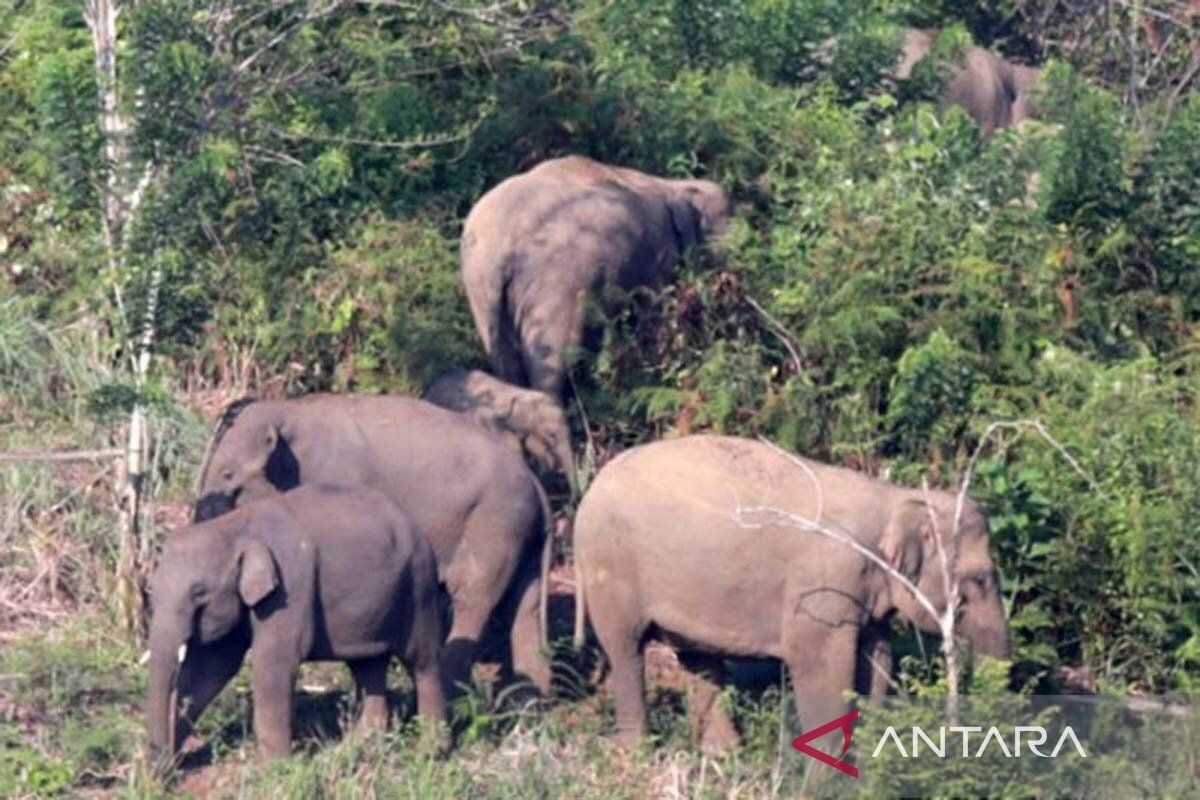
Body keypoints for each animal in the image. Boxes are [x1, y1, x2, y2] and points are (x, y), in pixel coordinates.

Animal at [146, 485, 445, 762]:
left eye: (198, 592)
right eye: (152, 590)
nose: (162, 767)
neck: (236, 525)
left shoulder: (289, 589)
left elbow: (273, 662)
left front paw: (274, 768)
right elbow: (213, 667)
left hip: (419, 587)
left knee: (422, 662)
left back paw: (430, 753)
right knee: (368, 665)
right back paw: (357, 747)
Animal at [193, 393, 554, 697]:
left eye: (227, 475)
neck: (288, 410)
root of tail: (538, 486)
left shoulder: (337, 477)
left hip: (494, 523)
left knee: (471, 597)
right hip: (521, 533)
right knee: (525, 605)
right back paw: (530, 700)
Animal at [461, 155, 733, 398]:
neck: (671, 185)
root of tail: (500, 250)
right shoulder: (658, 255)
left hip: (481, 292)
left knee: (504, 361)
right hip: (556, 286)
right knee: (553, 360)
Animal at [572, 435, 1009, 757]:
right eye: (981, 580)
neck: (892, 499)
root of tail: (588, 493)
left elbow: (877, 659)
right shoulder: (822, 584)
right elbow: (819, 664)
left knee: (698, 657)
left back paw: (723, 755)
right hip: (609, 568)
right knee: (625, 649)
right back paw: (635, 753)